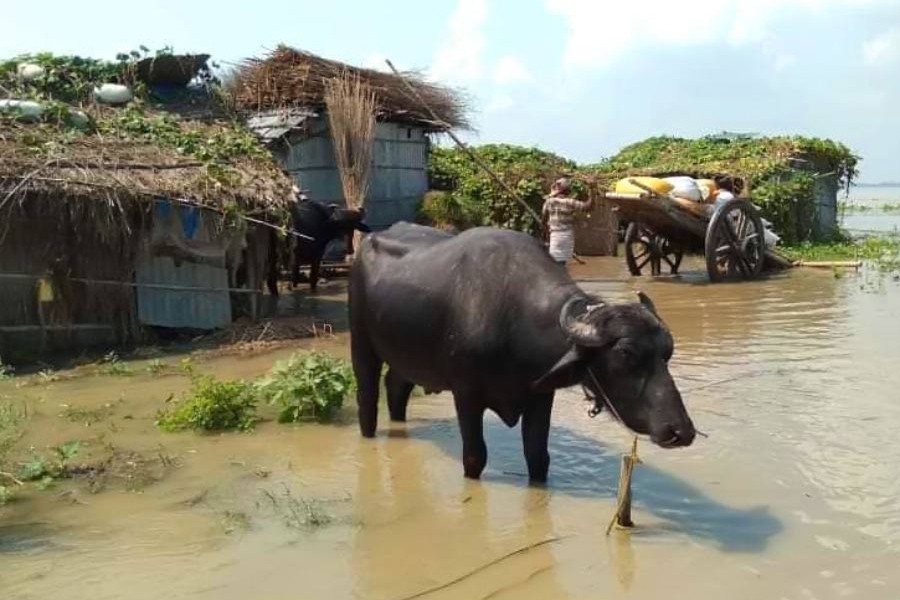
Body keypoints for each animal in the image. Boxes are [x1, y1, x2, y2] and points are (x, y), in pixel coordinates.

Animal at [346, 224, 696, 482]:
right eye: (625, 353)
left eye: (667, 353)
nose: (681, 431)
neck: (512, 316)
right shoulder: (466, 395)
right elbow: (475, 457)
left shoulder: (539, 396)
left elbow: (538, 457)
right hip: (361, 344)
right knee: (368, 398)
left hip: (406, 356)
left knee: (396, 386)